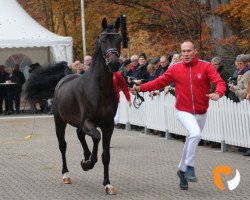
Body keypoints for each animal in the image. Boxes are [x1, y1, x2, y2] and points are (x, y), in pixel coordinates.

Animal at [25, 18, 122, 195]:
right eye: (103, 40)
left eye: (119, 39)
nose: (114, 64)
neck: (99, 88)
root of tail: (63, 78)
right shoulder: (88, 122)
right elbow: (96, 137)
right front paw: (87, 163)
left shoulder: (108, 125)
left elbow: (105, 155)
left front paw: (107, 184)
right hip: (59, 122)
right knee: (63, 145)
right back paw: (66, 174)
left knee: (79, 134)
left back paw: (85, 156)